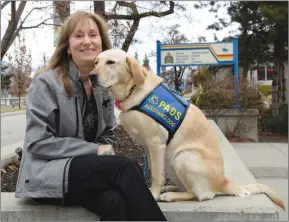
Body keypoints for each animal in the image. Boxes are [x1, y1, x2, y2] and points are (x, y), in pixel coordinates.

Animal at [90, 48, 284, 210]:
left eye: (111, 62)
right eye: (95, 62)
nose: (91, 75)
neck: (133, 89)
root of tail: (223, 182)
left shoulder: (155, 143)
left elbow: (156, 175)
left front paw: (153, 194)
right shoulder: (147, 147)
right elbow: (152, 170)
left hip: (183, 156)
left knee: (201, 195)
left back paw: (171, 195)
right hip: (170, 160)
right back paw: (172, 187)